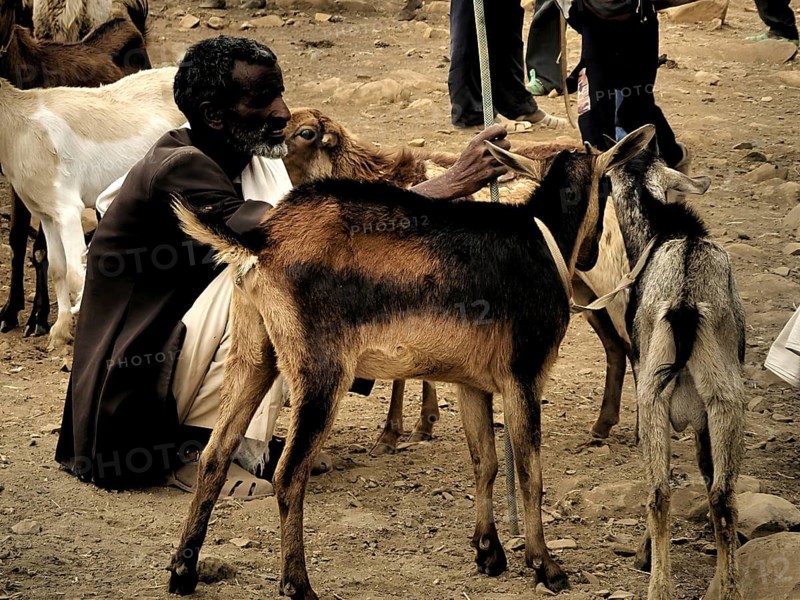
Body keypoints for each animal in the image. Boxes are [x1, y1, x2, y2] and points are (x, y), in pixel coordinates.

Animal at [0, 67, 186, 349]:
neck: (21, 127)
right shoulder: (46, 214)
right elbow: (57, 268)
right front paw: (59, 331)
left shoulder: (67, 209)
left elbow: (77, 274)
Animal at [284, 107, 634, 449]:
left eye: (306, 133)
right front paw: (420, 423)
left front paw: (395, 432)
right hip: (581, 285)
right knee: (615, 345)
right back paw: (602, 425)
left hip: (610, 276)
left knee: (630, 340)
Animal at [607, 144, 745, 600]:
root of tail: (684, 304)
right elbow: (706, 470)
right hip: (724, 403)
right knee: (718, 496)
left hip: (654, 398)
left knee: (661, 493)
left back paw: (660, 584)